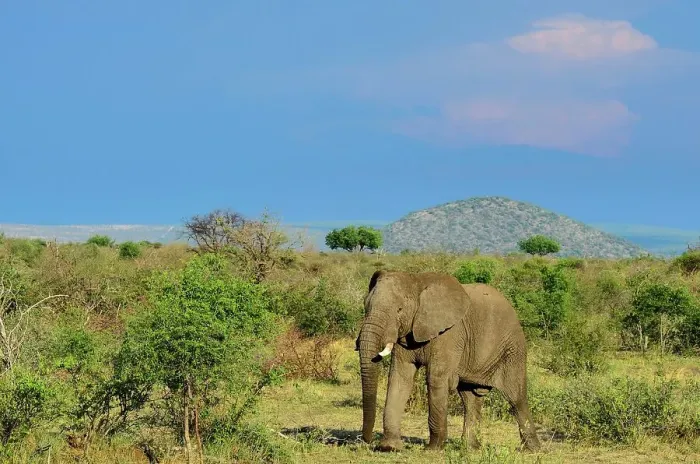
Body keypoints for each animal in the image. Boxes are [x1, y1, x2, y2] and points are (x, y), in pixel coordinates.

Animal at [355, 270, 540, 452]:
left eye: (399, 309)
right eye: (365, 305)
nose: (367, 440)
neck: (417, 281)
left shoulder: (450, 334)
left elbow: (435, 378)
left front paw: (433, 449)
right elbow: (399, 378)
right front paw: (389, 447)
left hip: (512, 348)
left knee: (516, 398)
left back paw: (532, 450)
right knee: (470, 398)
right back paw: (470, 449)